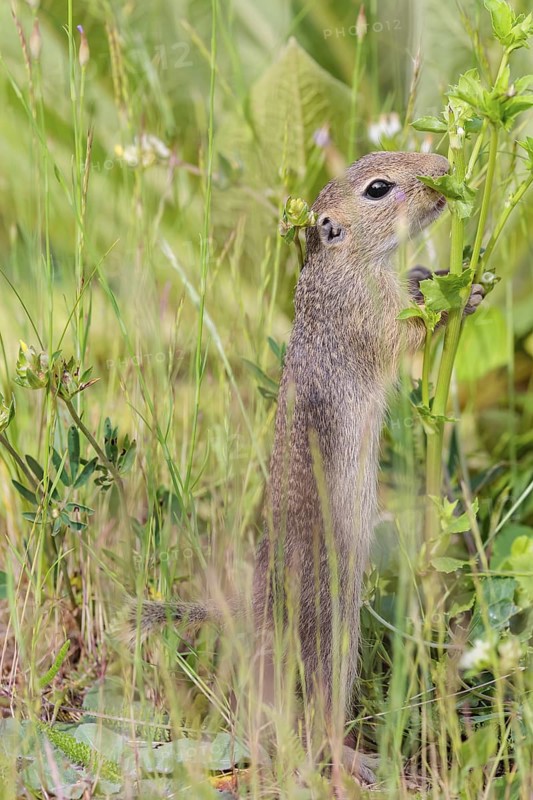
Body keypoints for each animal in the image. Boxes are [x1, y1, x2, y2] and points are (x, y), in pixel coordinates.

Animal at [126, 151, 484, 784]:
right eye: (378, 188)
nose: (442, 165)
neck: (347, 264)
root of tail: (258, 603)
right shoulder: (365, 315)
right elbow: (408, 332)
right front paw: (461, 293)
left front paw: (431, 274)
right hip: (334, 630)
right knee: (318, 711)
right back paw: (355, 761)